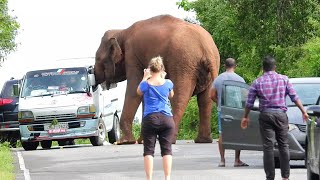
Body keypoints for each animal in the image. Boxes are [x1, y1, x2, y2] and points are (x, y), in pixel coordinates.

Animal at [95, 14, 220, 144]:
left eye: (98, 59)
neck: (122, 32)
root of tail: (206, 48)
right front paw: (142, 140)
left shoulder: (132, 57)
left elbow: (134, 89)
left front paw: (125, 142)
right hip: (208, 67)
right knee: (205, 101)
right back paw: (203, 140)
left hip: (183, 64)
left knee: (179, 98)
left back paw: (169, 139)